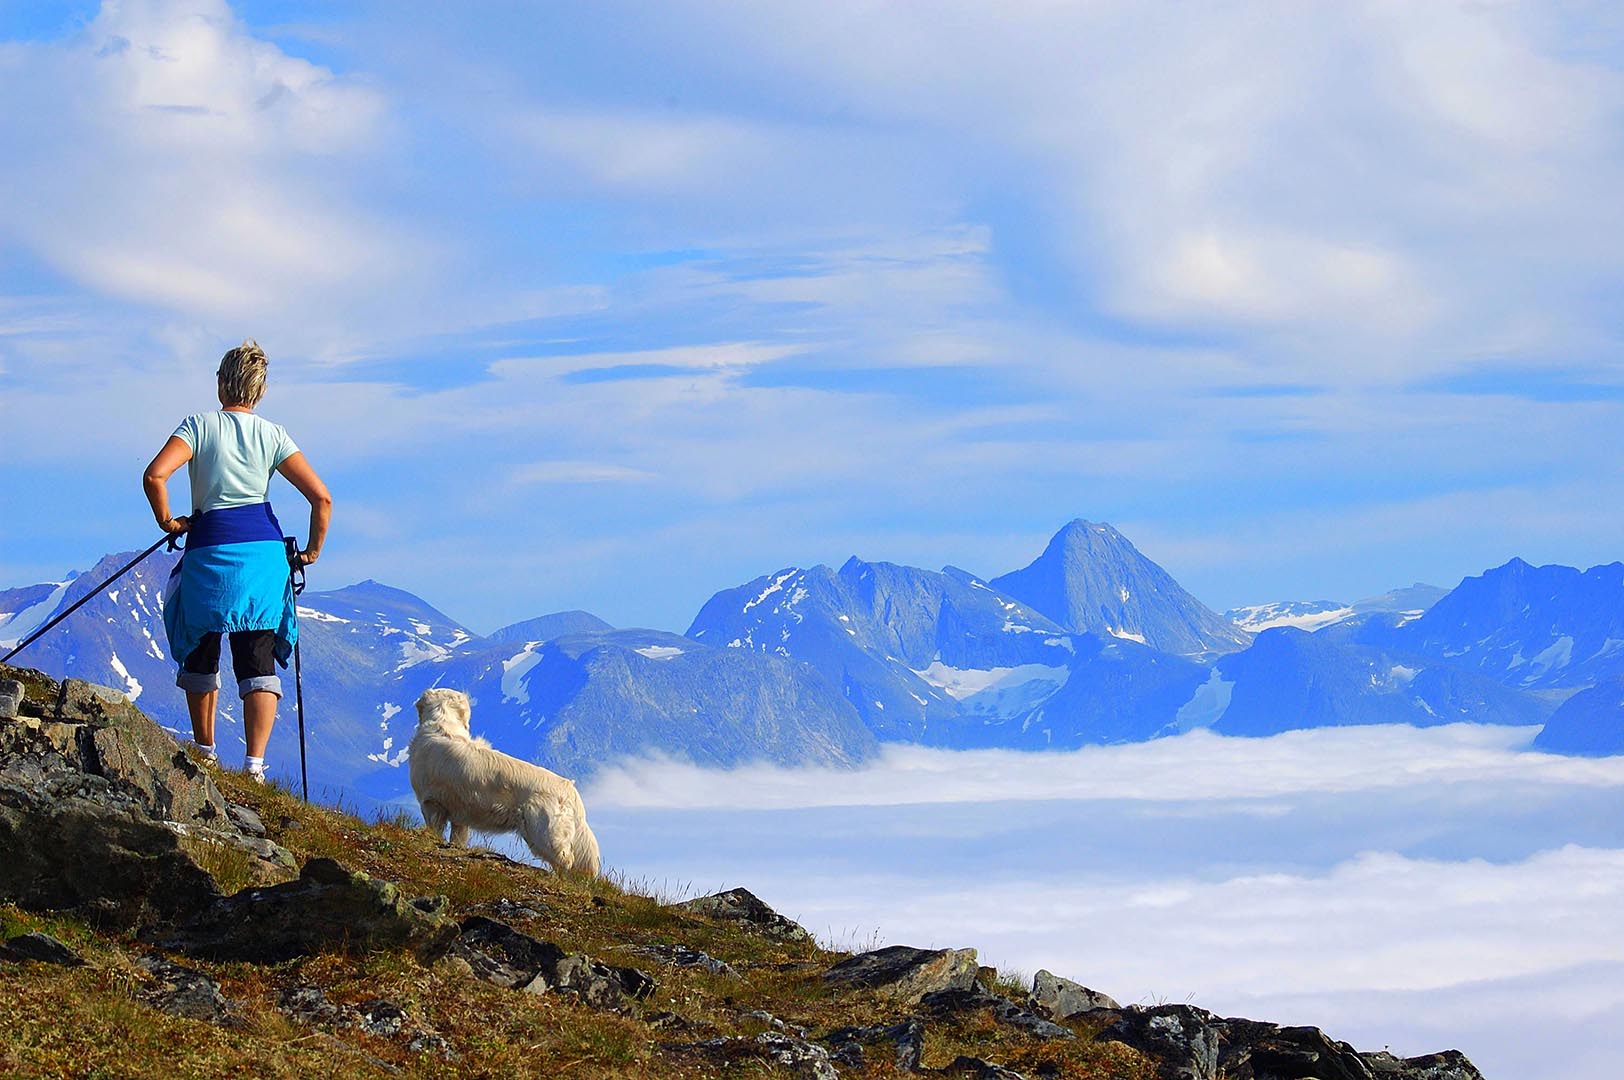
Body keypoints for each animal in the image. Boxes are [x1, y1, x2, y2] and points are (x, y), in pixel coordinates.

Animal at [406, 691, 604, 876]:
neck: (442, 721)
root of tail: (569, 787)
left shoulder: (431, 803)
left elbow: (435, 829)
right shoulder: (459, 813)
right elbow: (457, 838)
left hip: (543, 831)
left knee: (565, 860)